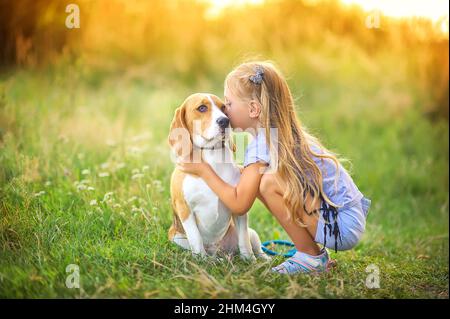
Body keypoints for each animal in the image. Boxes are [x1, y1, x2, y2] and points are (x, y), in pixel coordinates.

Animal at [168, 93, 268, 262]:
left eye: (224, 108)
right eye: (202, 108)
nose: (225, 121)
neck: (212, 156)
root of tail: (218, 250)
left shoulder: (238, 209)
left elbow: (244, 241)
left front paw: (250, 261)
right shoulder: (184, 209)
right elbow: (196, 238)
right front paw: (201, 259)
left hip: (252, 233)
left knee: (254, 244)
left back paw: (264, 258)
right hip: (177, 237)